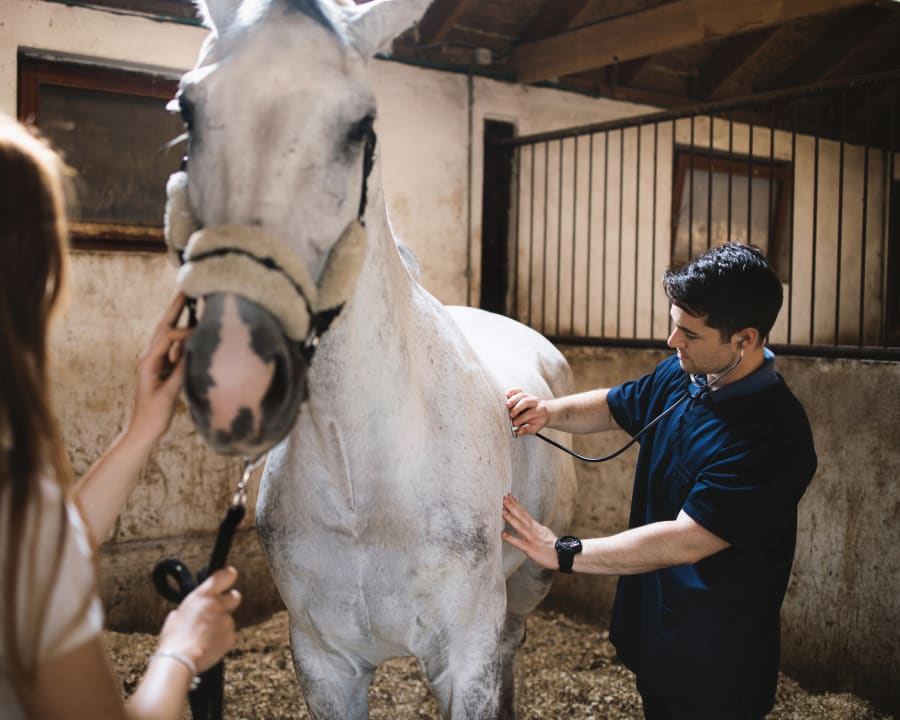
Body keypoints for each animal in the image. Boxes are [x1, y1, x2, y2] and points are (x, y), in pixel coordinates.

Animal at [163, 2, 576, 716]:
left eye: (361, 125)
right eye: (188, 107)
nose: (237, 372)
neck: (362, 478)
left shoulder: (466, 662)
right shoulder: (326, 665)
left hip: (526, 592)